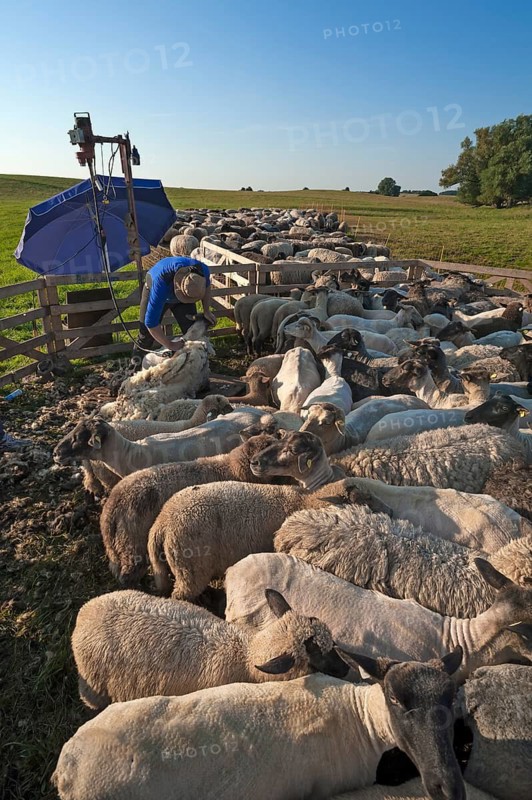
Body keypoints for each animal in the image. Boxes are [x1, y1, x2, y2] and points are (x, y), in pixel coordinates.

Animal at [99, 431, 282, 586]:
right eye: (268, 446)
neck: (230, 468)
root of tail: (113, 503)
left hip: (118, 546)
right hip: (131, 544)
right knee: (129, 574)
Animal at [148, 432, 345, 599]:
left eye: (291, 450)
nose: (255, 462)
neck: (308, 496)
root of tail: (161, 523)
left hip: (168, 570)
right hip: (190, 570)